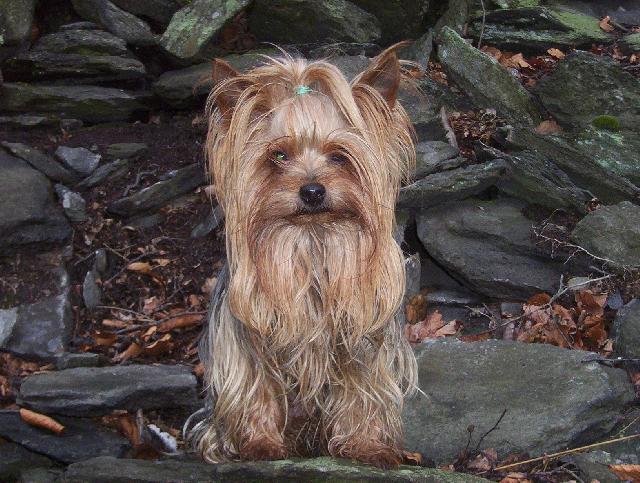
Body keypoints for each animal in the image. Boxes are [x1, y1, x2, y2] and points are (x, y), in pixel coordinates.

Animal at [189, 44, 418, 469]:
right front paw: (260, 444)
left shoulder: (361, 340)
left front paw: (369, 447)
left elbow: (363, 388)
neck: (312, 239)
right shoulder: (248, 340)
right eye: (278, 155)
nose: (312, 191)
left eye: (339, 156)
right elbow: (257, 383)